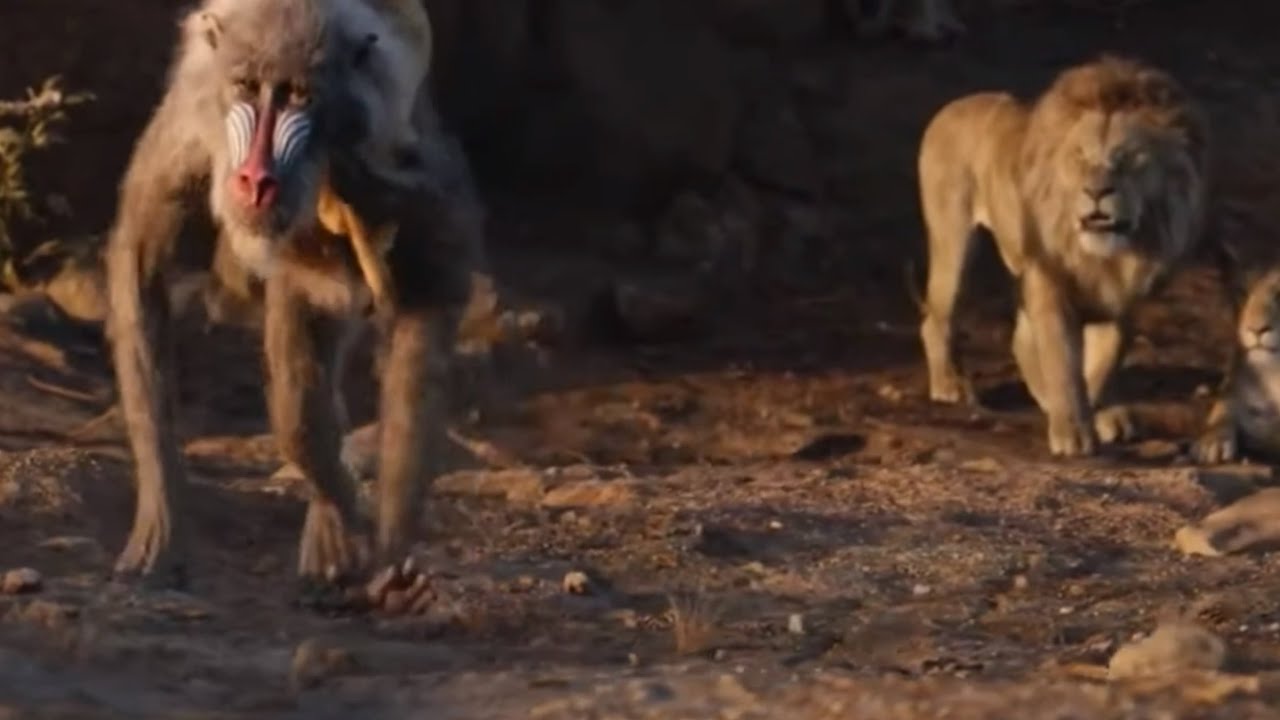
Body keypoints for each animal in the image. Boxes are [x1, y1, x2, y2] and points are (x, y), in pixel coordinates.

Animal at [917, 56, 1212, 457]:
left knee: (1019, 338)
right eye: (1080, 158)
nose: (1096, 192)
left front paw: (1099, 414)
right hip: (956, 245)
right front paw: (1073, 431)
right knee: (938, 319)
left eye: (1129, 160)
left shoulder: (1121, 299)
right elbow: (1063, 362)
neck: (1108, 257)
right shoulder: (1049, 281)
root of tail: (953, 106)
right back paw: (950, 386)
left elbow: (1101, 362)